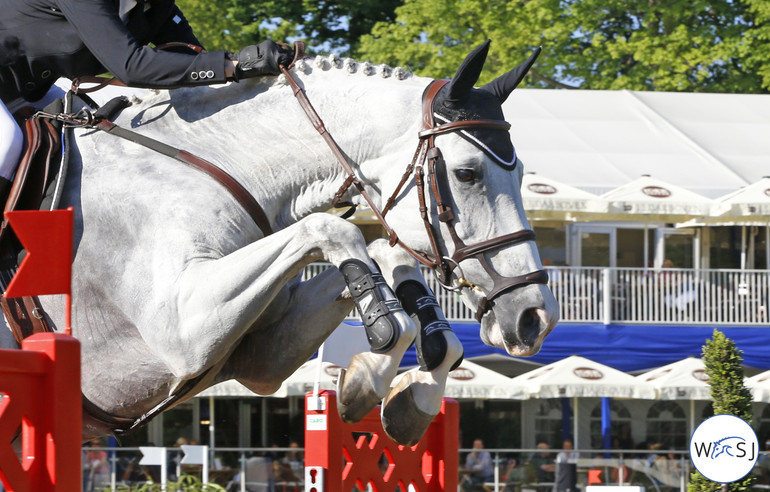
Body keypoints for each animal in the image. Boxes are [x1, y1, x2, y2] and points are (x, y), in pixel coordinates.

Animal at [3, 41, 556, 446]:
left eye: (523, 174)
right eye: (467, 173)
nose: (536, 317)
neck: (203, 159)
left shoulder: (258, 356)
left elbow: (384, 253)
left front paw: (397, 391)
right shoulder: (179, 330)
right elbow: (334, 230)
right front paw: (381, 349)